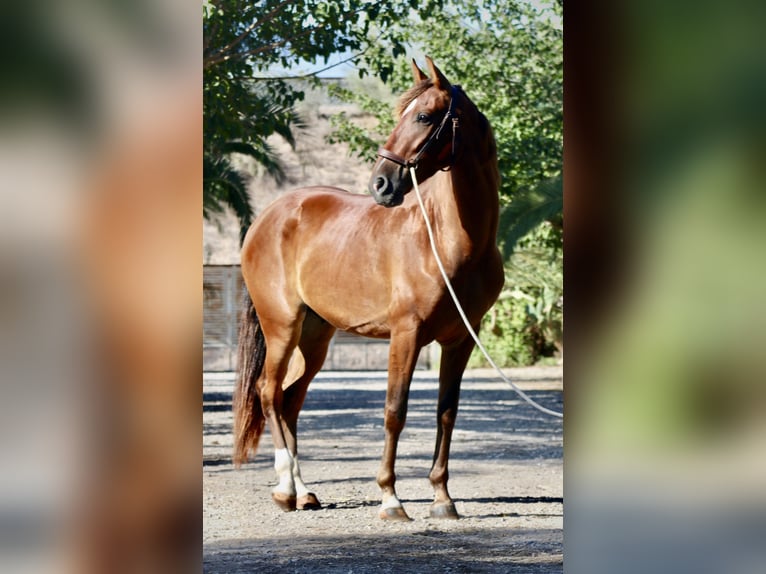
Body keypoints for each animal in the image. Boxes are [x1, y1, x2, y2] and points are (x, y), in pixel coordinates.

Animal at [232, 58, 504, 520]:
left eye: (424, 116)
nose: (381, 183)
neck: (452, 241)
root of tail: (267, 217)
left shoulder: (461, 339)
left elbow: (446, 412)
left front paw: (442, 498)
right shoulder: (406, 334)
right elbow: (395, 410)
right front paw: (391, 498)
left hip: (315, 336)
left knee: (290, 400)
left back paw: (304, 492)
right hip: (281, 326)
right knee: (268, 393)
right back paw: (285, 489)